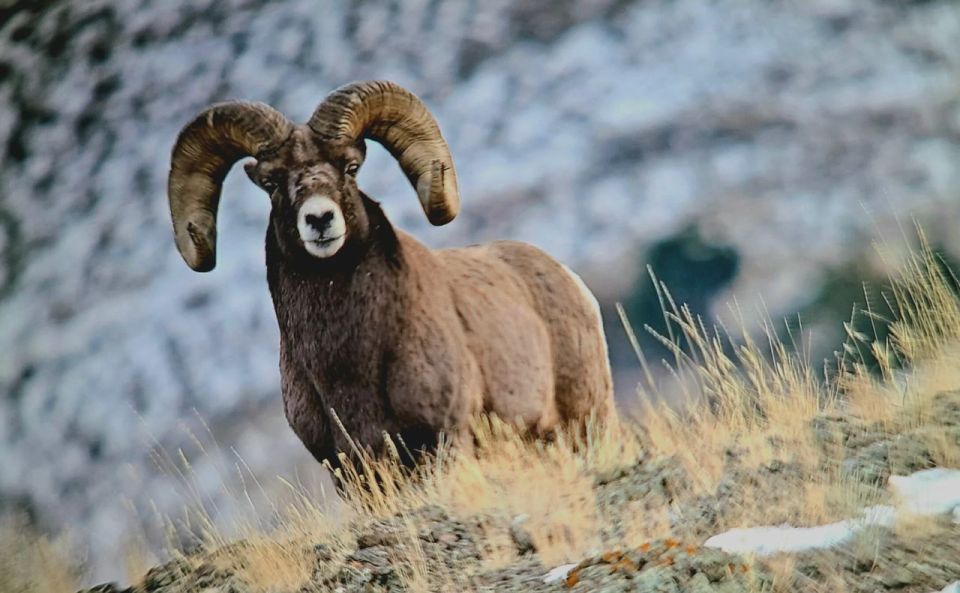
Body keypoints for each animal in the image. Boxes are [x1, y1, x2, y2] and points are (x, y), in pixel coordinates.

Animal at [167, 80, 616, 468]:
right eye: (272, 181)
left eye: (350, 168)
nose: (319, 220)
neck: (346, 364)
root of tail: (568, 278)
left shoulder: (446, 439)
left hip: (586, 422)